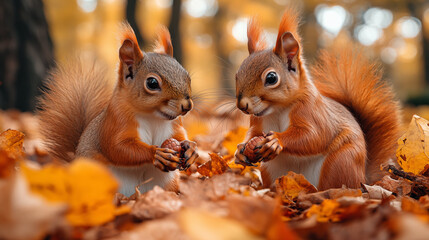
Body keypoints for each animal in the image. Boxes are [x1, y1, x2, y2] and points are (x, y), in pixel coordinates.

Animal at [38, 23, 197, 195]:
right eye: (152, 83)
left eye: (187, 76)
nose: (187, 106)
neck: (152, 117)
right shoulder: (115, 121)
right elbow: (117, 147)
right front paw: (156, 153)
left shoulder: (174, 124)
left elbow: (179, 135)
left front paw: (190, 148)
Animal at [232, 8, 400, 190]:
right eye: (237, 74)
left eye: (271, 78)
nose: (242, 105)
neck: (278, 109)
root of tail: (364, 180)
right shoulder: (258, 121)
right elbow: (253, 133)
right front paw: (241, 150)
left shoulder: (311, 111)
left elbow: (314, 135)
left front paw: (276, 140)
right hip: (271, 170)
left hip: (340, 162)